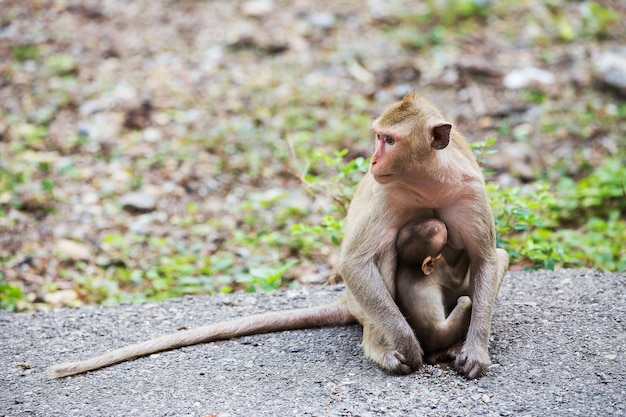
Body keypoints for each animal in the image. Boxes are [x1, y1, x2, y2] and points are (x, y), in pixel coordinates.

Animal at [394, 218, 468, 358]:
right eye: (441, 235)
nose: (443, 223)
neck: (412, 266)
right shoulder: (440, 266)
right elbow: (456, 279)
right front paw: (466, 250)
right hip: (445, 333)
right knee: (465, 301)